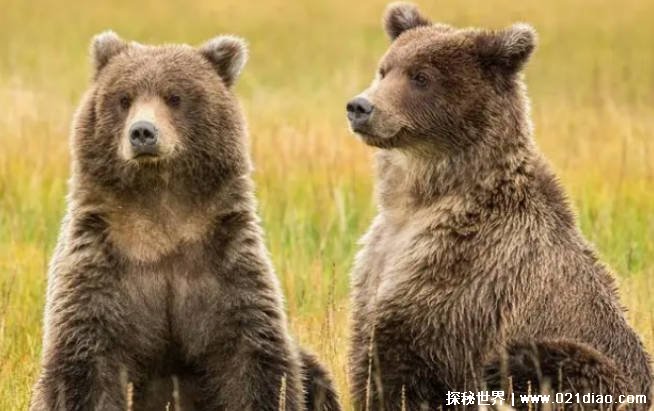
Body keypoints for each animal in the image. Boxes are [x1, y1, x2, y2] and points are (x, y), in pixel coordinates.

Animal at [29, 32, 344, 411]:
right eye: (124, 98)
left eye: (174, 96)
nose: (143, 132)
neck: (163, 215)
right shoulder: (101, 263)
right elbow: (85, 362)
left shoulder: (224, 264)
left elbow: (253, 359)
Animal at [346, 2, 652, 408]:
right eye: (385, 69)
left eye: (421, 76)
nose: (360, 106)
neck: (418, 202)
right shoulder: (376, 269)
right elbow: (369, 363)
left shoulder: (467, 278)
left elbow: (410, 365)